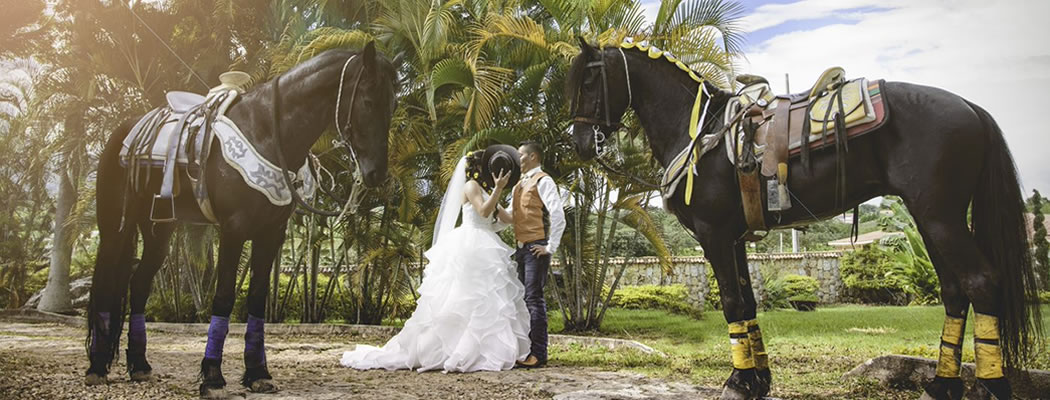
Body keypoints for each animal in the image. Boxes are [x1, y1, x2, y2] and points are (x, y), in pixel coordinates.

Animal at [85, 41, 396, 396]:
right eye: (368, 101)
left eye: (393, 104)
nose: (376, 174)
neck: (267, 132)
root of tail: (124, 134)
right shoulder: (233, 230)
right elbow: (223, 298)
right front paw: (212, 375)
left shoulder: (271, 233)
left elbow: (257, 299)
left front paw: (258, 372)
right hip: (115, 226)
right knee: (106, 281)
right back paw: (97, 367)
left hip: (158, 230)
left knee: (138, 284)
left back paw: (139, 365)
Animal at [567, 38, 1041, 398]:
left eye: (589, 78)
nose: (582, 144)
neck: (702, 132)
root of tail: (969, 106)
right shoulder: (736, 238)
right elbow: (749, 302)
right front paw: (758, 379)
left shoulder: (714, 235)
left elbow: (732, 302)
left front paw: (738, 381)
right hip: (931, 220)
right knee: (955, 291)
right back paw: (942, 384)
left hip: (941, 217)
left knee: (981, 282)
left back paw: (989, 385)